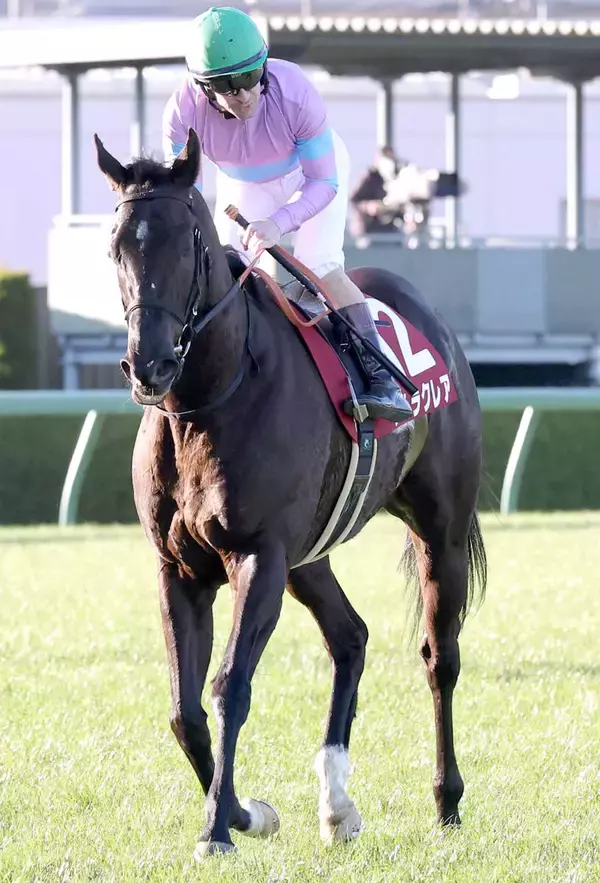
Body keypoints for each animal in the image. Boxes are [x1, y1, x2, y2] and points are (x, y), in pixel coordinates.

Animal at [95, 128, 487, 858]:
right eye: (116, 243)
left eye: (188, 239)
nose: (149, 364)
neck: (206, 402)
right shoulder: (179, 567)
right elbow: (184, 710)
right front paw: (246, 811)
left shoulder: (259, 554)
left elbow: (230, 686)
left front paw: (219, 827)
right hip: (310, 556)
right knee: (351, 636)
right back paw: (337, 804)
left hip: (438, 532)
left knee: (439, 657)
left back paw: (446, 799)